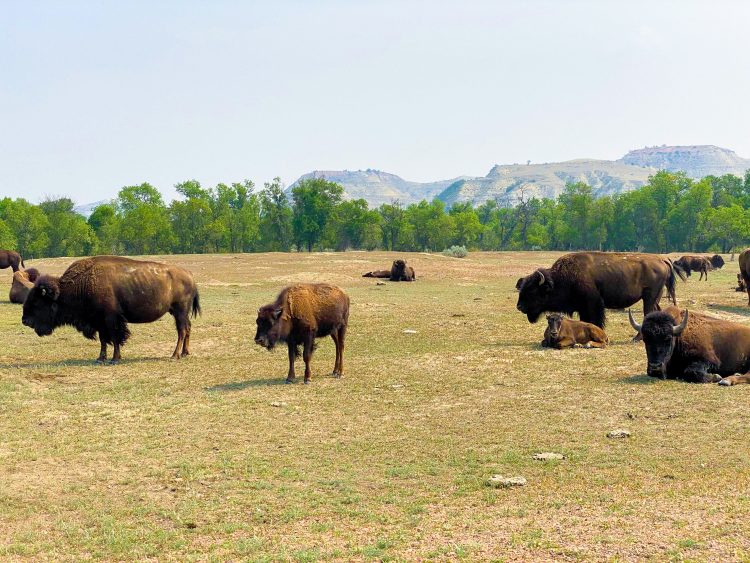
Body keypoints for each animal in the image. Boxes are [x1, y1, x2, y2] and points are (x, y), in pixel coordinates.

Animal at [22, 258, 201, 364]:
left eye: (37, 302)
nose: (25, 320)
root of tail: (190, 275)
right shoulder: (99, 321)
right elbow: (103, 340)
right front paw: (100, 358)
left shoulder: (111, 319)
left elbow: (115, 338)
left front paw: (115, 359)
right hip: (180, 313)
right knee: (188, 329)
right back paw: (185, 353)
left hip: (179, 311)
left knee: (182, 331)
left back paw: (175, 355)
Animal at [516, 252, 688, 330]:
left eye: (532, 291)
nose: (519, 306)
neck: (561, 278)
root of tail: (661, 259)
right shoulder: (582, 307)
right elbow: (585, 320)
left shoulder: (593, 303)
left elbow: (596, 319)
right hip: (654, 298)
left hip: (649, 297)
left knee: (648, 313)